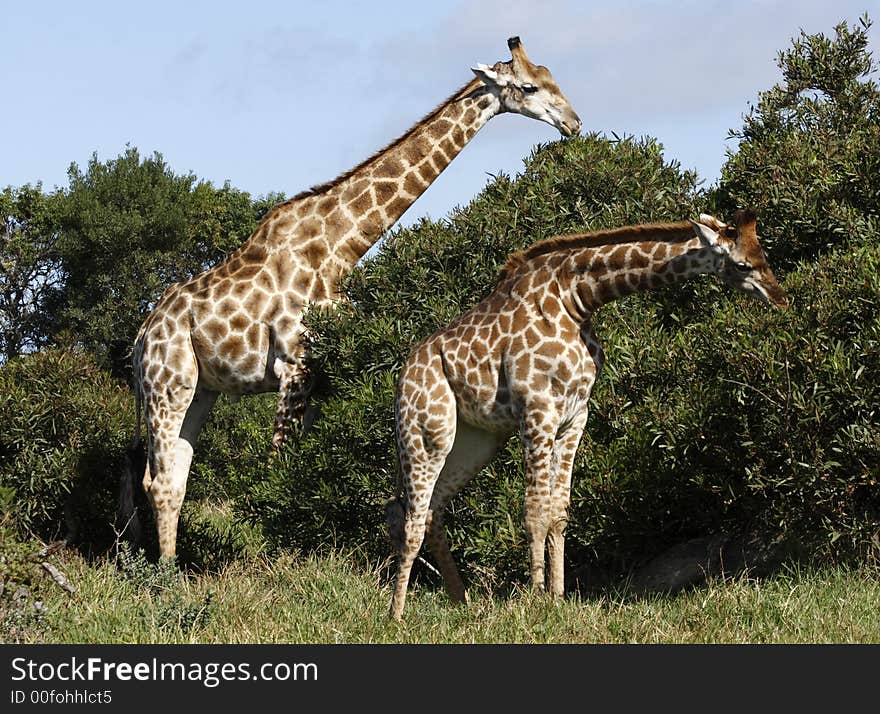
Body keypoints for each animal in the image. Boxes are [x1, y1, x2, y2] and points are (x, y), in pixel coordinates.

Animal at [118, 36, 584, 560]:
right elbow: (277, 467)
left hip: (199, 389)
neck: (340, 247)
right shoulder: (294, 365)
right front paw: (274, 560)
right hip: (167, 383)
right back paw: (163, 572)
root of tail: (140, 338)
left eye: (551, 76)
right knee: (158, 479)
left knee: (173, 472)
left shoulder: (321, 373)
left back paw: (165, 563)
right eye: (529, 87)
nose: (573, 122)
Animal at [388, 207, 788, 616]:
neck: (576, 299)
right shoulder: (537, 409)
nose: (781, 298)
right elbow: (535, 509)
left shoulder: (574, 416)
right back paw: (396, 614)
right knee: (412, 518)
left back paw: (461, 601)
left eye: (764, 255)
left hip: (475, 440)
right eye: (742, 264)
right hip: (424, 429)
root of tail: (404, 373)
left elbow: (559, 511)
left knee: (433, 510)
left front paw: (558, 597)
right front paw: (536, 600)